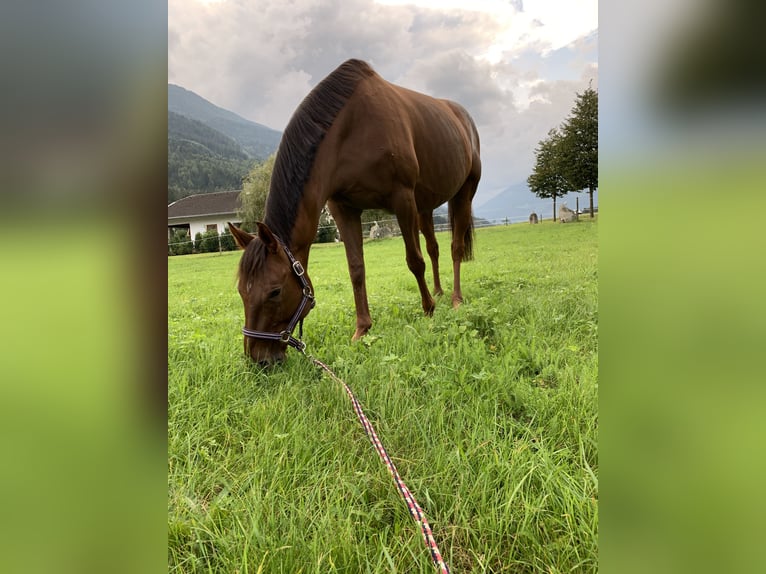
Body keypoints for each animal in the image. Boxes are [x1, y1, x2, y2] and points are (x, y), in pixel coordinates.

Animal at [230, 58, 480, 364]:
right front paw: (362, 329)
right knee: (434, 248)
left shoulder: (402, 199)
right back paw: (439, 291)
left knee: (455, 247)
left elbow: (414, 260)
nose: (259, 359)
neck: (351, 130)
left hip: (463, 193)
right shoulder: (343, 208)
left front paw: (428, 310)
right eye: (241, 291)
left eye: (275, 291)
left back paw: (455, 299)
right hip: (425, 207)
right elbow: (356, 269)